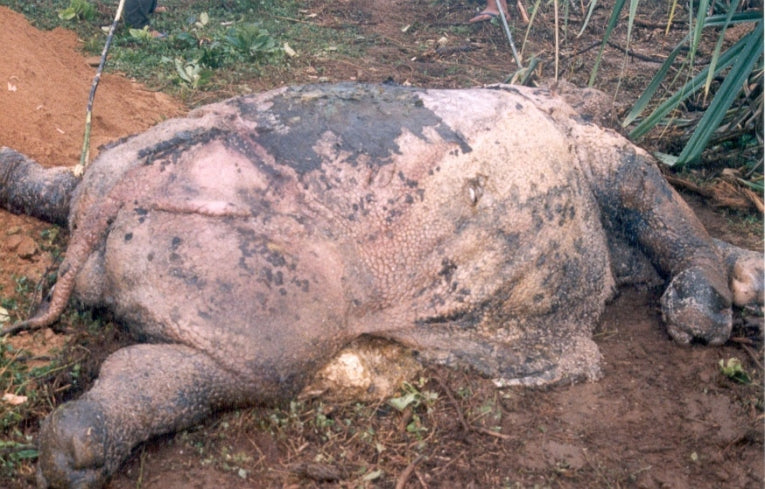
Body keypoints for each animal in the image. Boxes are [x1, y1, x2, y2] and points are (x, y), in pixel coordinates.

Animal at [0, 83, 761, 489]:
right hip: (258, 273)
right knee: (261, 362)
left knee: (74, 189)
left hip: (137, 188)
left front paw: (743, 282)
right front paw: (704, 321)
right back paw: (72, 453)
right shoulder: (599, 155)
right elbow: (650, 193)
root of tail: (124, 190)